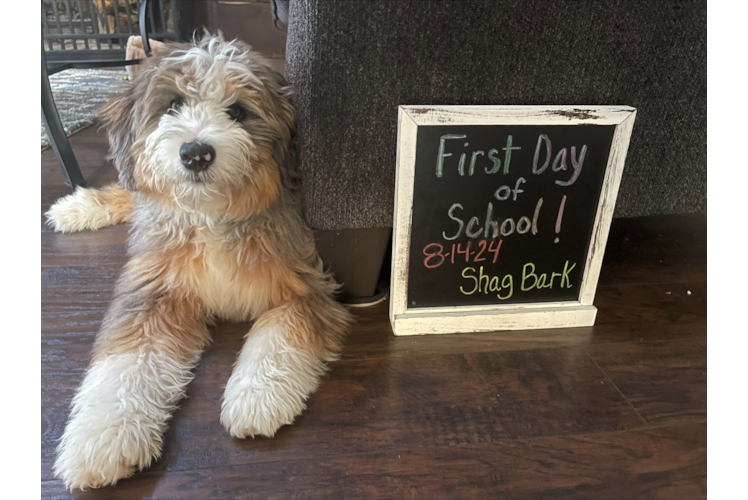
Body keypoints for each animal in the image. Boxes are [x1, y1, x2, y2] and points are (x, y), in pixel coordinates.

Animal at [46, 36, 354, 492]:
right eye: (173, 104)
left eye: (238, 111)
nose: (196, 153)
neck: (212, 218)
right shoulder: (152, 292)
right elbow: (124, 365)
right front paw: (102, 437)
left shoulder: (306, 285)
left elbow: (278, 335)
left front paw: (257, 397)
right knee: (130, 190)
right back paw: (77, 207)